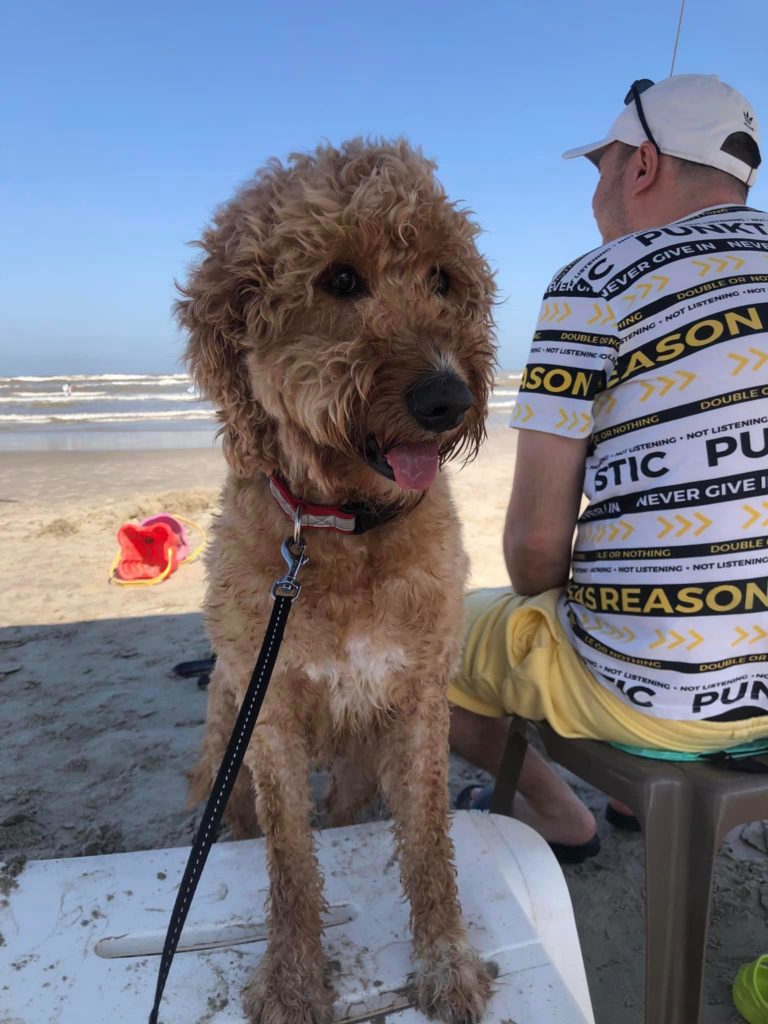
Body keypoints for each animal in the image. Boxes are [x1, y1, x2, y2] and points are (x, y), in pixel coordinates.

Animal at [177, 138, 495, 1024]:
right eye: (340, 279)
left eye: (443, 279)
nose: (449, 397)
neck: (343, 527)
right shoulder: (271, 717)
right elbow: (289, 859)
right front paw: (292, 976)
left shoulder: (419, 699)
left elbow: (428, 844)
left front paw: (447, 960)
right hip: (225, 751)